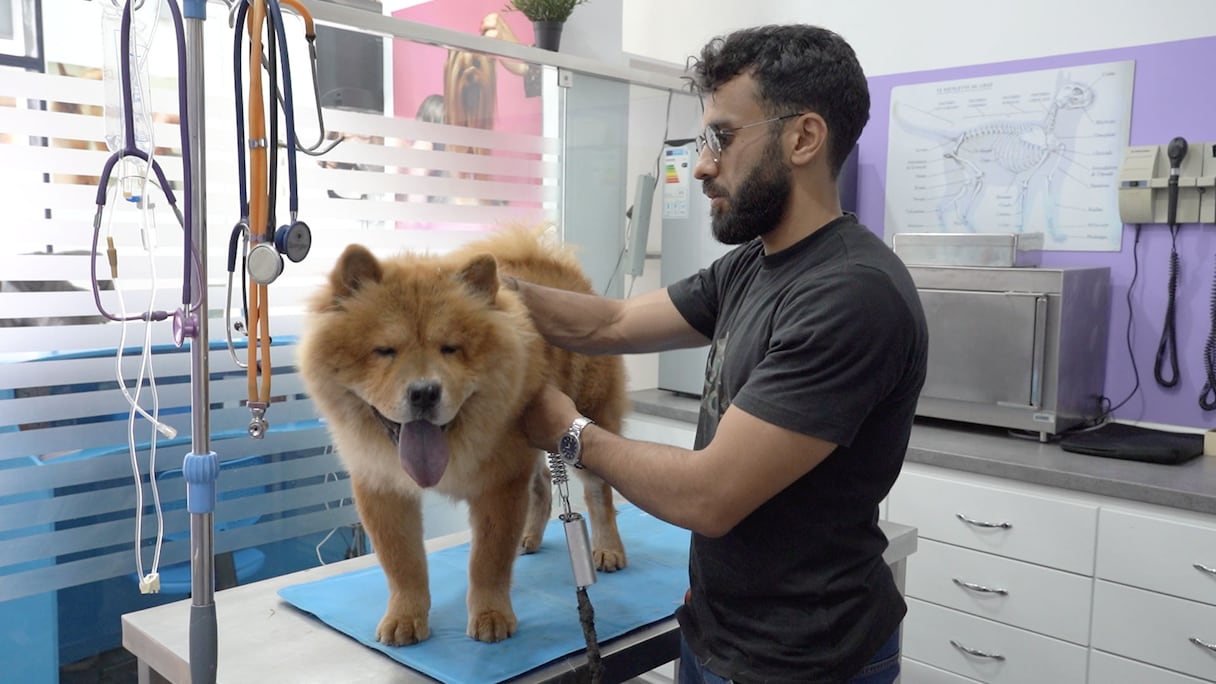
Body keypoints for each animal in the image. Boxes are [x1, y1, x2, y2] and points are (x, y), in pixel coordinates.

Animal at [298, 227, 629, 645]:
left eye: (450, 349)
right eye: (385, 350)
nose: (424, 392)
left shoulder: (499, 484)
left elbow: (487, 561)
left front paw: (491, 616)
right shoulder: (381, 488)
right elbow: (402, 563)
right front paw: (405, 618)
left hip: (587, 422)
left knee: (599, 497)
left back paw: (608, 550)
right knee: (540, 487)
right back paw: (529, 538)